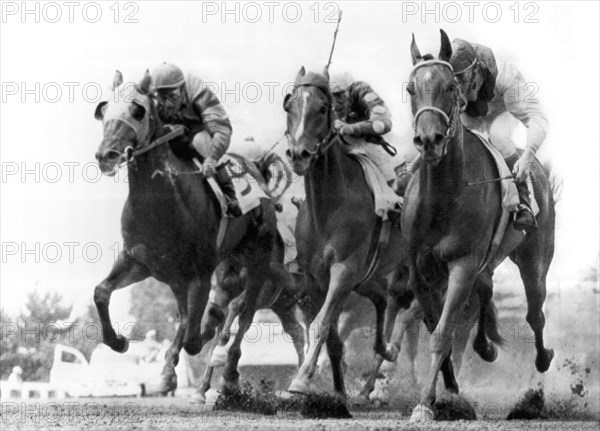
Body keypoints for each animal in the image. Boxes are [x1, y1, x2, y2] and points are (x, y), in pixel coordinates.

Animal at [92, 70, 278, 394]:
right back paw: (169, 373)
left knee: (245, 312)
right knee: (191, 316)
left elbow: (194, 337)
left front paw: (209, 341)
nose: (107, 155)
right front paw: (118, 341)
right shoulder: (139, 261)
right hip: (190, 275)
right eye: (103, 111)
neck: (161, 205)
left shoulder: (200, 273)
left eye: (137, 110)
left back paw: (228, 373)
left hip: (257, 261)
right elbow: (101, 292)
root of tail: (257, 168)